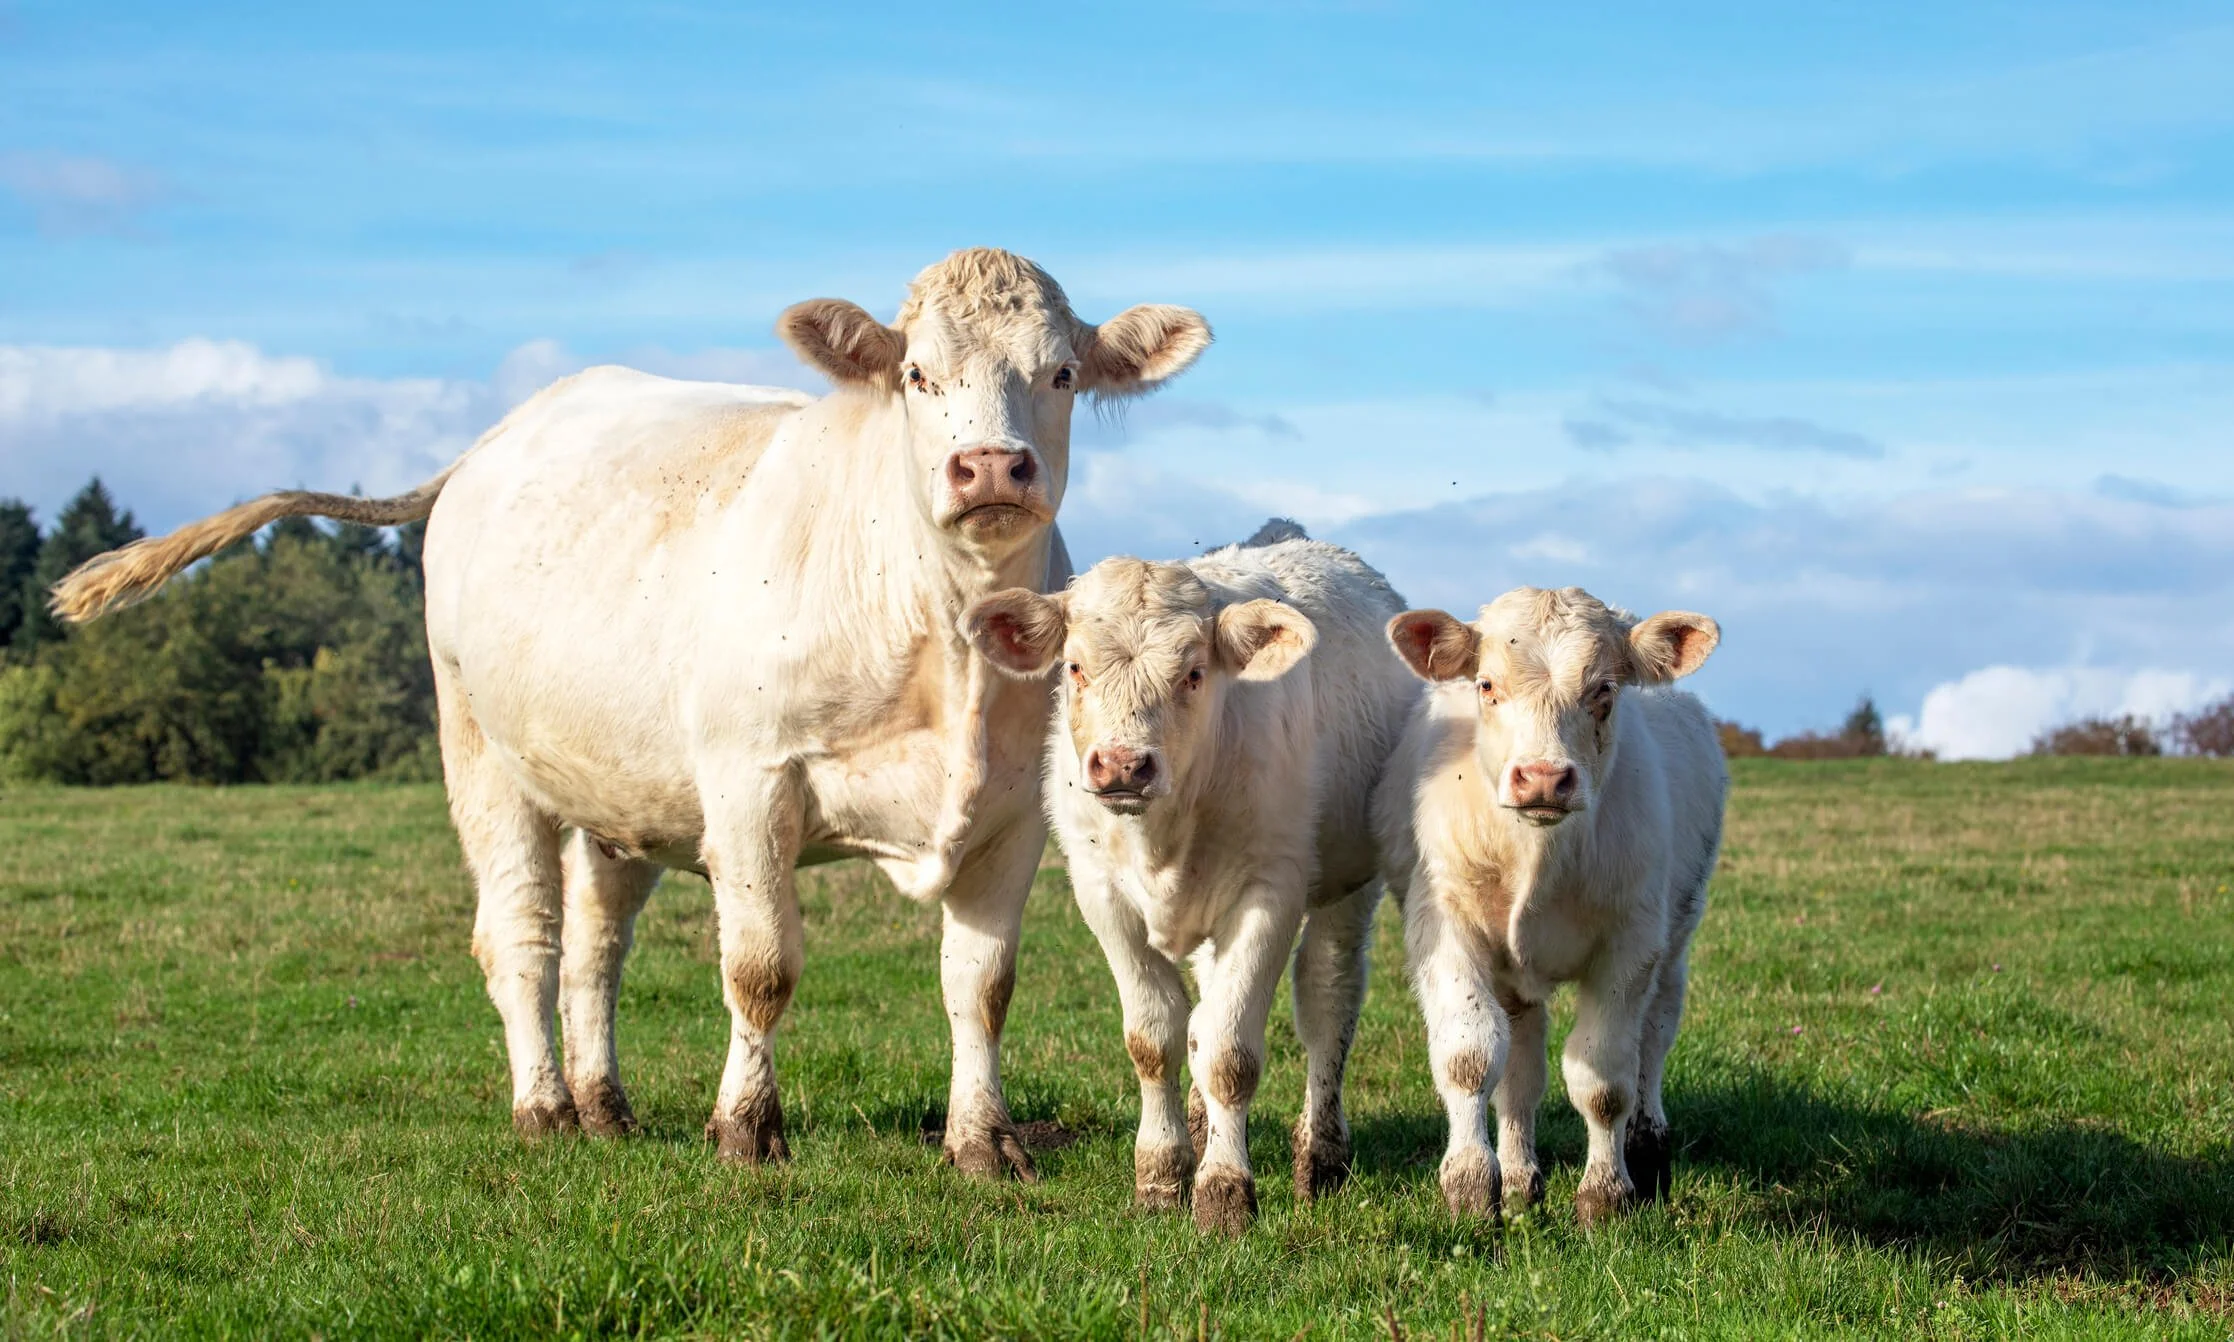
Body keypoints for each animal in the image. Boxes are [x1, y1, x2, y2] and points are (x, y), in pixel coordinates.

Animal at [50, 248, 1212, 1179]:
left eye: (1060, 374)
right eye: (915, 375)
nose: (991, 467)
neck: (940, 634)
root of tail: (495, 442)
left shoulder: (1013, 816)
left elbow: (980, 986)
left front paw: (984, 1144)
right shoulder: (750, 784)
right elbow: (760, 968)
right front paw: (746, 1130)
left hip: (616, 794)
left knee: (594, 950)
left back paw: (605, 1104)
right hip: (480, 754)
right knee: (520, 937)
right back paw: (544, 1107)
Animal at [961, 523, 1419, 1231]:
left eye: (1194, 673)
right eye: (1075, 667)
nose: (1124, 764)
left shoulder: (1270, 892)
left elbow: (1233, 1054)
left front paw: (1225, 1191)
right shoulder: (1101, 894)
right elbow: (1156, 1038)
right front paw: (1161, 1174)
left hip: (1349, 885)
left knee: (1327, 1000)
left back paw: (1321, 1158)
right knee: (1202, 1017)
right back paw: (1204, 1129)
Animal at [1372, 586, 1725, 1225]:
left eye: (1604, 689)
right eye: (1486, 684)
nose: (1541, 778)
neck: (1538, 856)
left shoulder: (1630, 945)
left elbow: (1603, 1079)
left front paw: (1605, 1194)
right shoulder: (1444, 926)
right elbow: (1470, 1057)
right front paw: (1471, 1185)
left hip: (1677, 935)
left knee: (1654, 1038)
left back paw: (1649, 1152)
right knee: (1521, 1072)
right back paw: (1519, 1180)